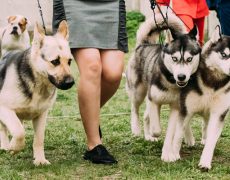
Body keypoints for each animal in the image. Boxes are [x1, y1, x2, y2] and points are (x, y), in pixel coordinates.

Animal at [0, 20, 74, 165]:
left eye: (69, 61)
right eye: (55, 61)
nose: (71, 83)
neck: (38, 85)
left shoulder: (41, 115)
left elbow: (39, 139)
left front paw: (40, 160)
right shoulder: (3, 108)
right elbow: (19, 132)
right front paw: (13, 147)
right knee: (4, 129)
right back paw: (5, 146)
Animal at [126, 13, 201, 161]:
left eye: (189, 59)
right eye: (174, 58)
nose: (181, 77)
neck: (171, 82)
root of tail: (145, 43)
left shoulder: (176, 107)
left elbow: (170, 133)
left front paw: (167, 154)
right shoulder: (154, 100)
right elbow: (157, 129)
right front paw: (154, 133)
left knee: (145, 115)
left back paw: (148, 136)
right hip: (139, 92)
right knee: (135, 108)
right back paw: (137, 130)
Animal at [172, 26, 230, 170]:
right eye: (224, 55)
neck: (213, 83)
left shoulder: (218, 113)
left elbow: (212, 139)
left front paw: (205, 162)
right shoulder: (186, 109)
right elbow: (178, 134)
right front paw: (173, 155)